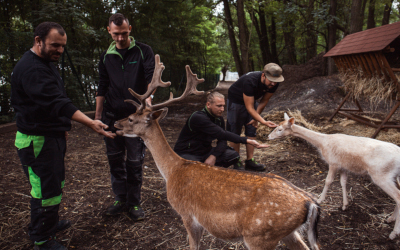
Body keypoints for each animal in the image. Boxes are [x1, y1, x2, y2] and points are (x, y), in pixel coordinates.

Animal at [114, 55, 320, 250]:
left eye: (131, 118)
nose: (116, 123)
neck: (173, 170)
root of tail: (310, 202)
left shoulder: (188, 214)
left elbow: (193, 246)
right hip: (288, 233)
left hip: (260, 235)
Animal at [268, 112, 400, 239]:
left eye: (279, 129)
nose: (268, 136)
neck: (322, 143)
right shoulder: (343, 165)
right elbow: (343, 182)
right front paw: (345, 205)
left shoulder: (333, 162)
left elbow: (328, 181)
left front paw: (320, 199)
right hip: (394, 176)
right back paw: (390, 218)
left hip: (381, 175)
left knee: (398, 196)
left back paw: (394, 233)